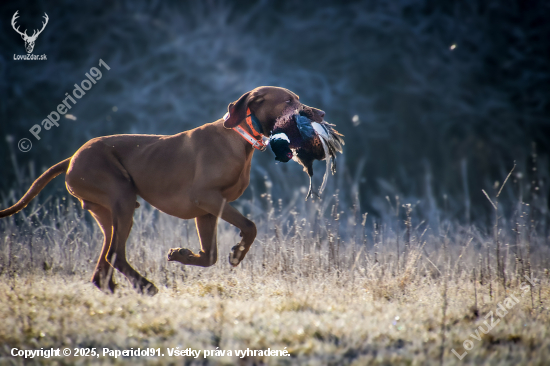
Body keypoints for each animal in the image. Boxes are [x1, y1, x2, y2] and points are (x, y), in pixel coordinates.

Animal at [1, 87, 328, 296]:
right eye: (289, 101)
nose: (322, 113)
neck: (239, 137)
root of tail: (72, 158)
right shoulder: (207, 198)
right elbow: (250, 226)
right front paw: (237, 254)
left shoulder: (206, 211)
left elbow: (209, 256)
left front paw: (182, 254)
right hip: (122, 200)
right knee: (115, 255)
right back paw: (145, 286)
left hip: (107, 213)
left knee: (105, 261)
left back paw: (116, 289)